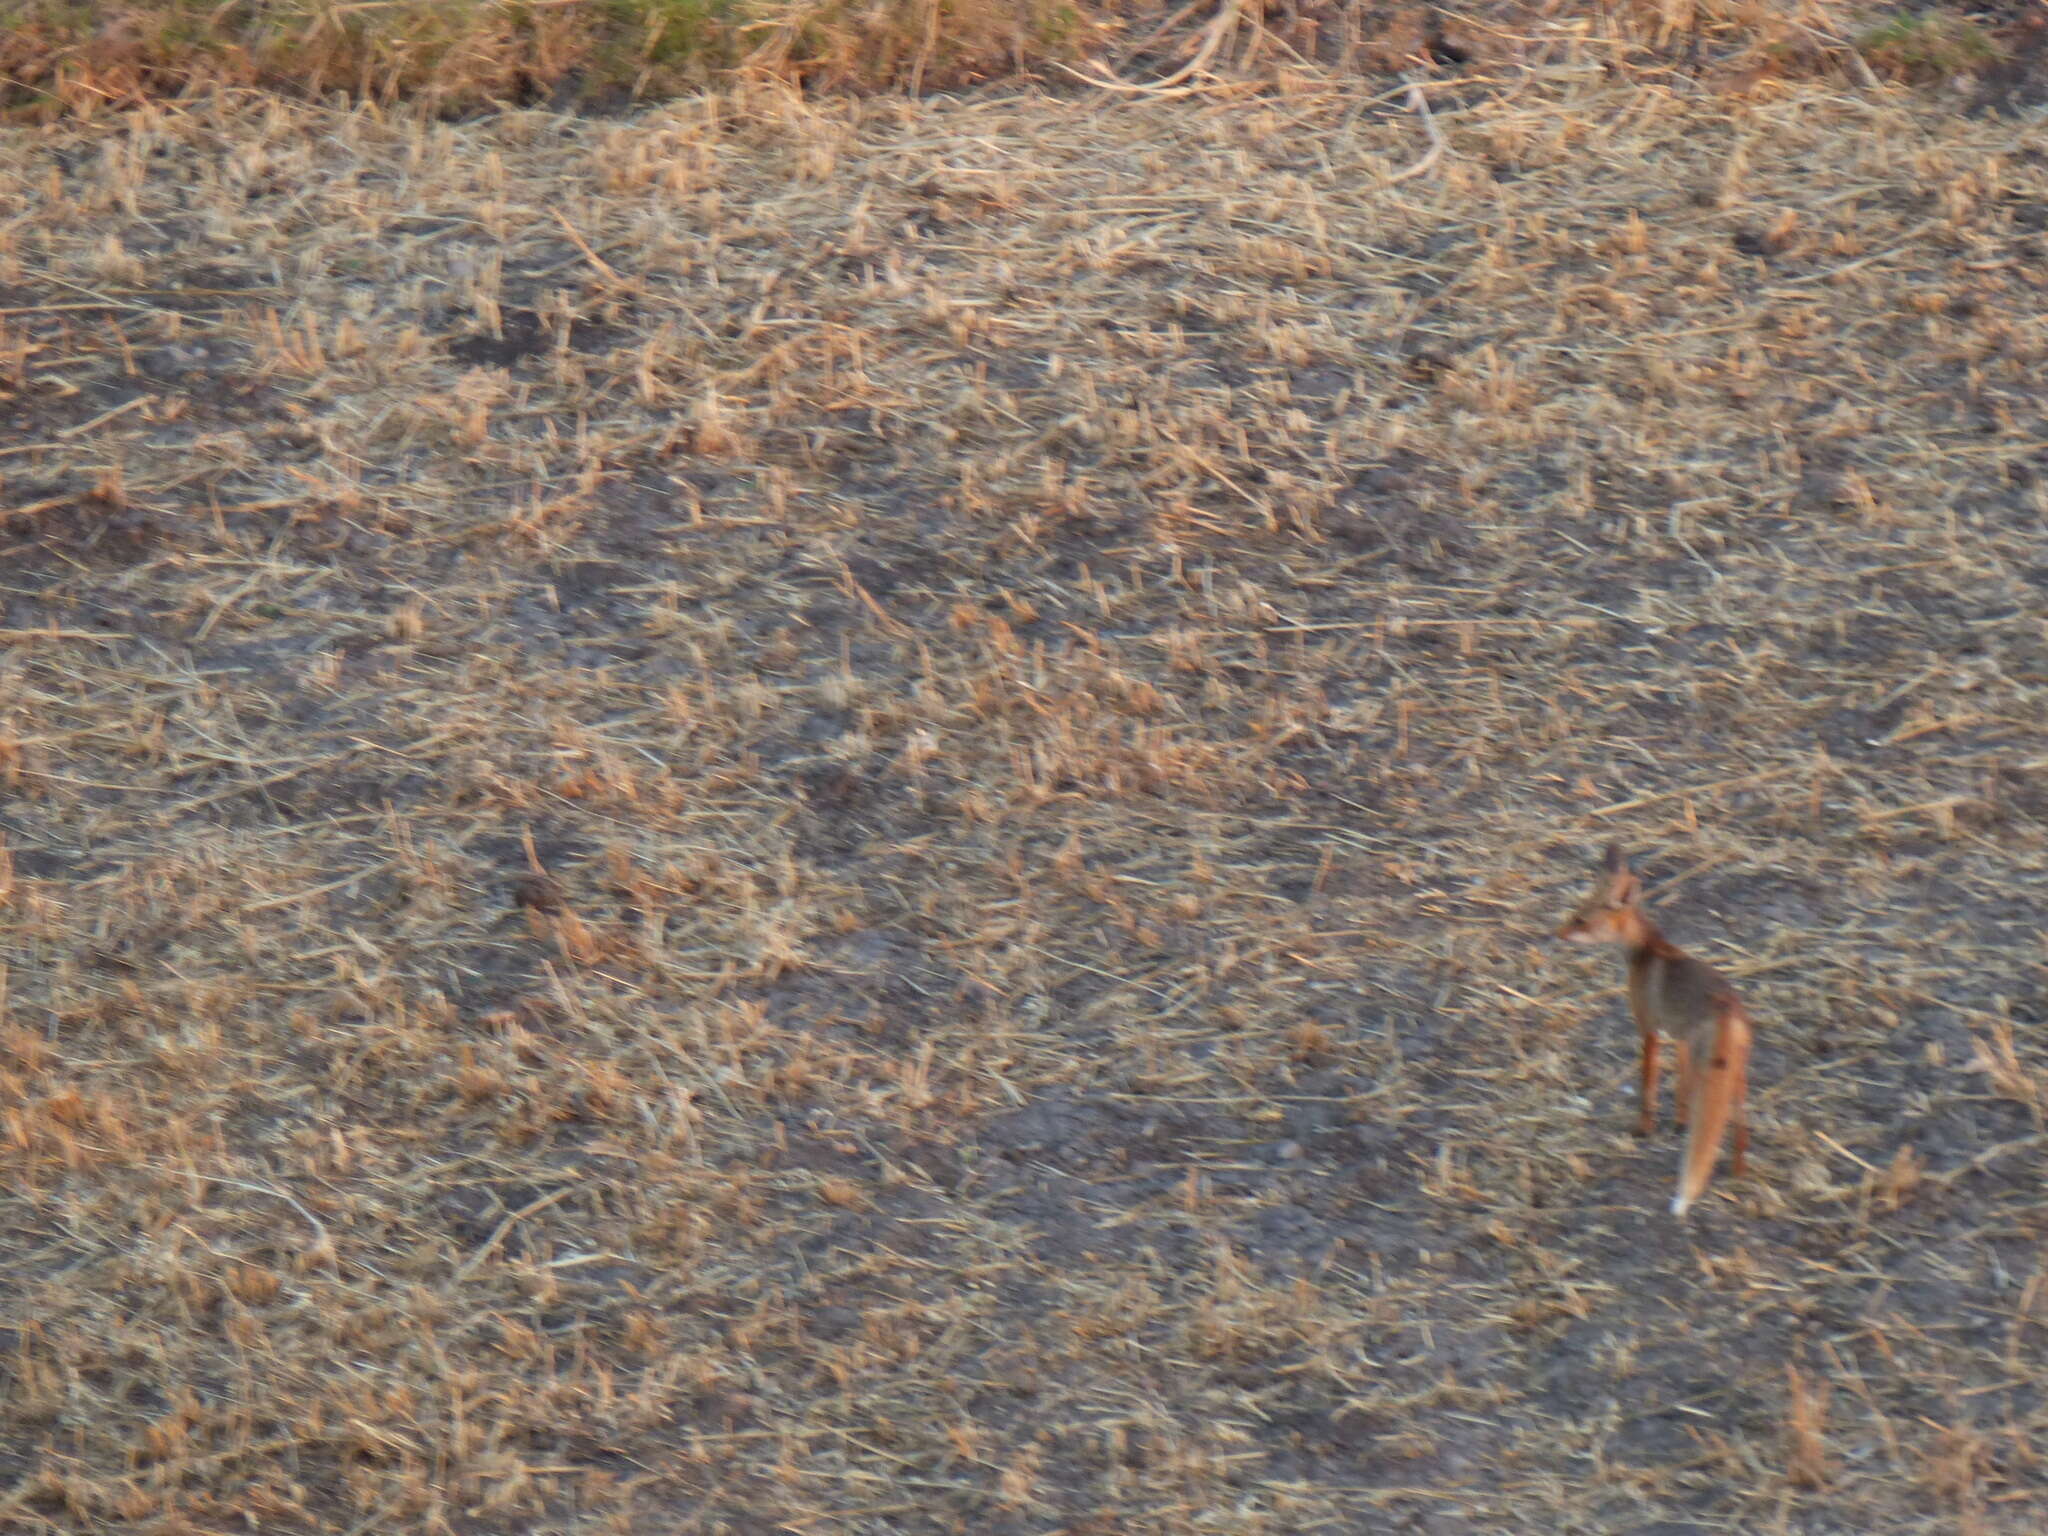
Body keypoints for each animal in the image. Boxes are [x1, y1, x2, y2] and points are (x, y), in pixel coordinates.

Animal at [1556, 847, 1753, 1220]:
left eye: (1580, 920)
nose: (1556, 934)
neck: (1646, 950)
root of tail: (1727, 1009)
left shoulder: (1649, 1028)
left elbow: (1648, 1088)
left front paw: (1643, 1130)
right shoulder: (1679, 1037)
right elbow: (1680, 1090)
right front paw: (1679, 1124)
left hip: (1713, 1070)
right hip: (1737, 1077)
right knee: (1738, 1123)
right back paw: (1738, 1174)